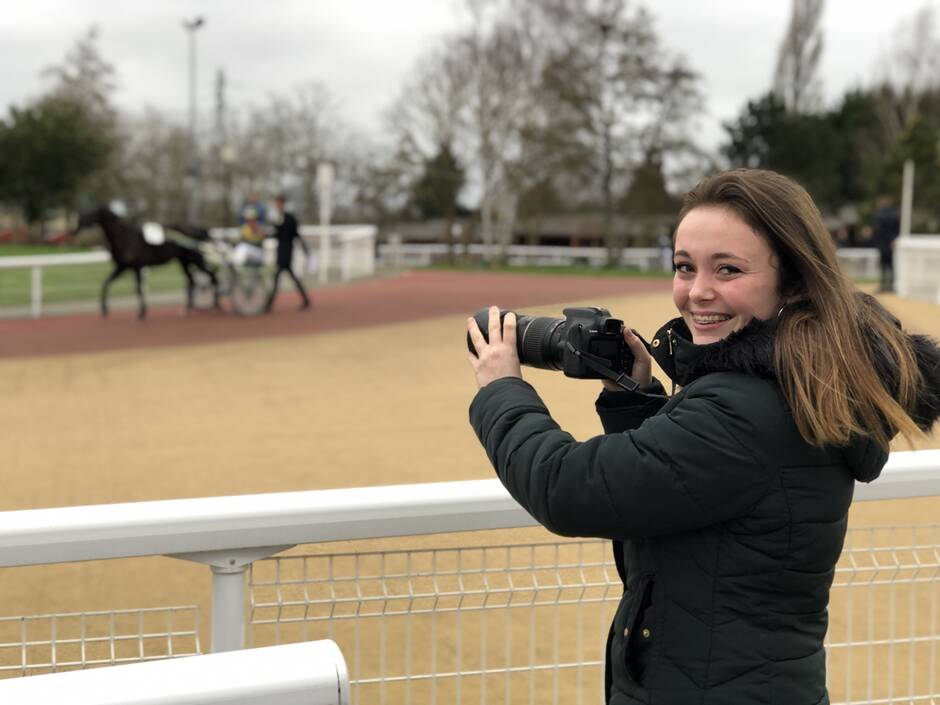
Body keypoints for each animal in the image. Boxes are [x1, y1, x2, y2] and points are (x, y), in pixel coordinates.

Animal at [74, 205, 220, 318]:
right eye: (82, 213)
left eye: (89, 214)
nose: (75, 228)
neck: (125, 237)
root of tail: (201, 229)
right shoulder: (122, 267)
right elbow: (106, 283)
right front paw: (104, 309)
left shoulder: (136, 267)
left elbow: (138, 289)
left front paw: (142, 313)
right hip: (184, 262)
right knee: (193, 280)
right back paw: (189, 308)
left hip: (197, 260)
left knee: (212, 276)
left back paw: (216, 305)